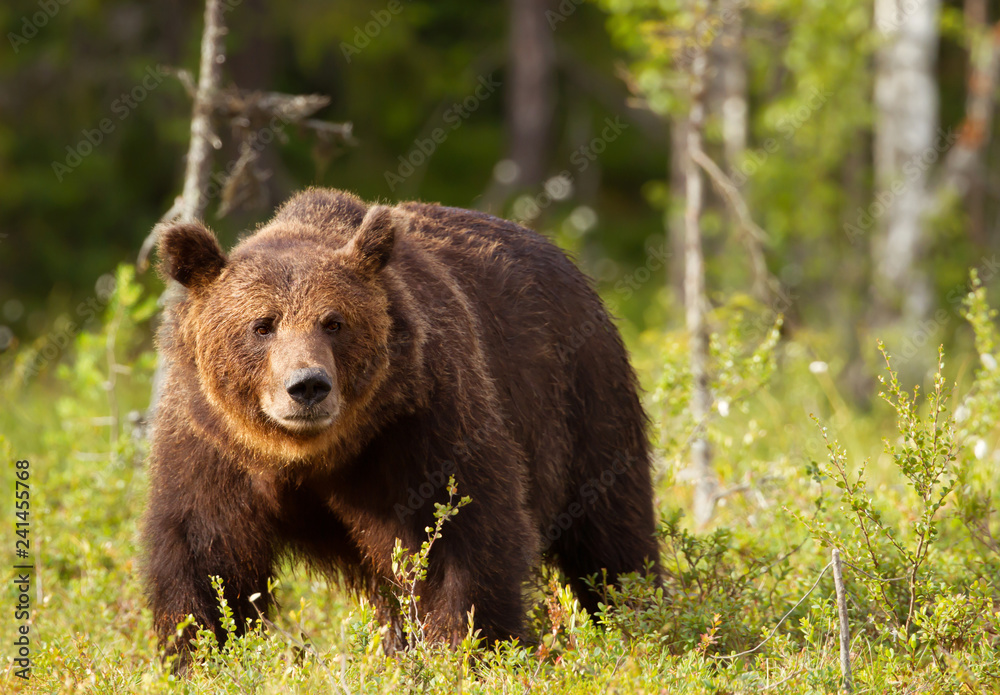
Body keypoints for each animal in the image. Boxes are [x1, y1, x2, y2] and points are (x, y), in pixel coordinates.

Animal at [141, 186, 656, 664]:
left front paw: (467, 649)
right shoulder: (211, 444)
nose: (307, 386)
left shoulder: (420, 426)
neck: (309, 454)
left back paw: (644, 620)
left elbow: (461, 540)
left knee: (612, 532)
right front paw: (201, 654)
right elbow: (205, 561)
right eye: (262, 325)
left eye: (334, 322)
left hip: (583, 399)